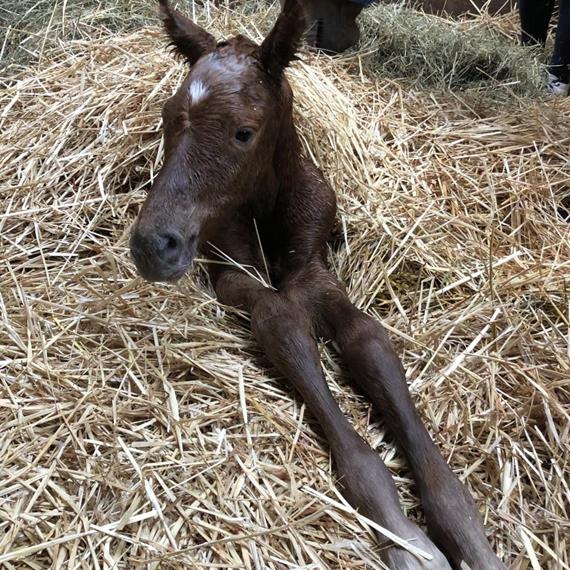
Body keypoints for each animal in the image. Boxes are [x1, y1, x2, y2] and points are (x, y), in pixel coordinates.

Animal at [130, 2, 506, 564]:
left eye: (244, 131)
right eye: (165, 118)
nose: (154, 245)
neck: (266, 206)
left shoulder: (314, 271)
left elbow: (366, 338)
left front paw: (469, 540)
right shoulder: (233, 273)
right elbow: (280, 318)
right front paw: (409, 541)